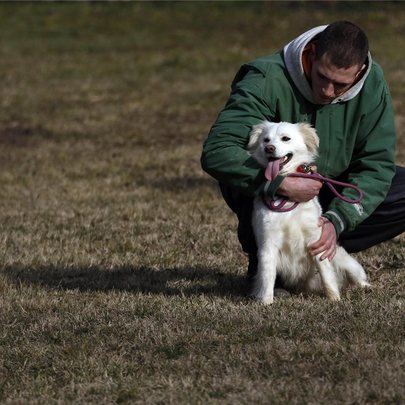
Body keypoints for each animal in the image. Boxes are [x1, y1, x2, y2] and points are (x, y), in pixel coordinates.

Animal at [246, 120, 370, 304]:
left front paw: (334, 299)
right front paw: (266, 302)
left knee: (357, 278)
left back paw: (366, 287)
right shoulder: (267, 243)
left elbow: (327, 275)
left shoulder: (316, 240)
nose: (269, 148)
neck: (287, 200)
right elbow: (267, 276)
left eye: (285, 138)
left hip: (346, 262)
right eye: (266, 140)